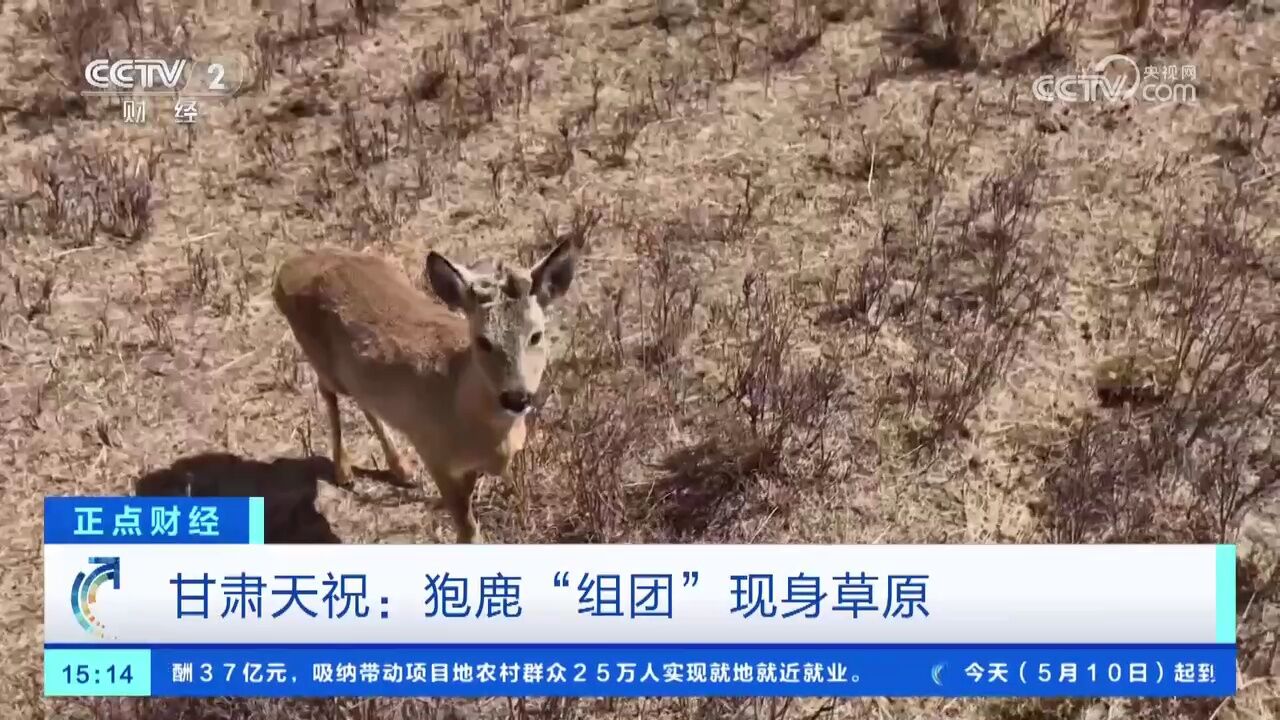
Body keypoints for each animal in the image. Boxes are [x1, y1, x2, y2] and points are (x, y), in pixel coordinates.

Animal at [270, 238, 581, 540]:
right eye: (482, 340)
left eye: (536, 336)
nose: (516, 397)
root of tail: (289, 267)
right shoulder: (434, 455)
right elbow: (467, 531)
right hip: (319, 358)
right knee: (328, 391)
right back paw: (344, 470)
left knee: (364, 401)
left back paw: (401, 469)